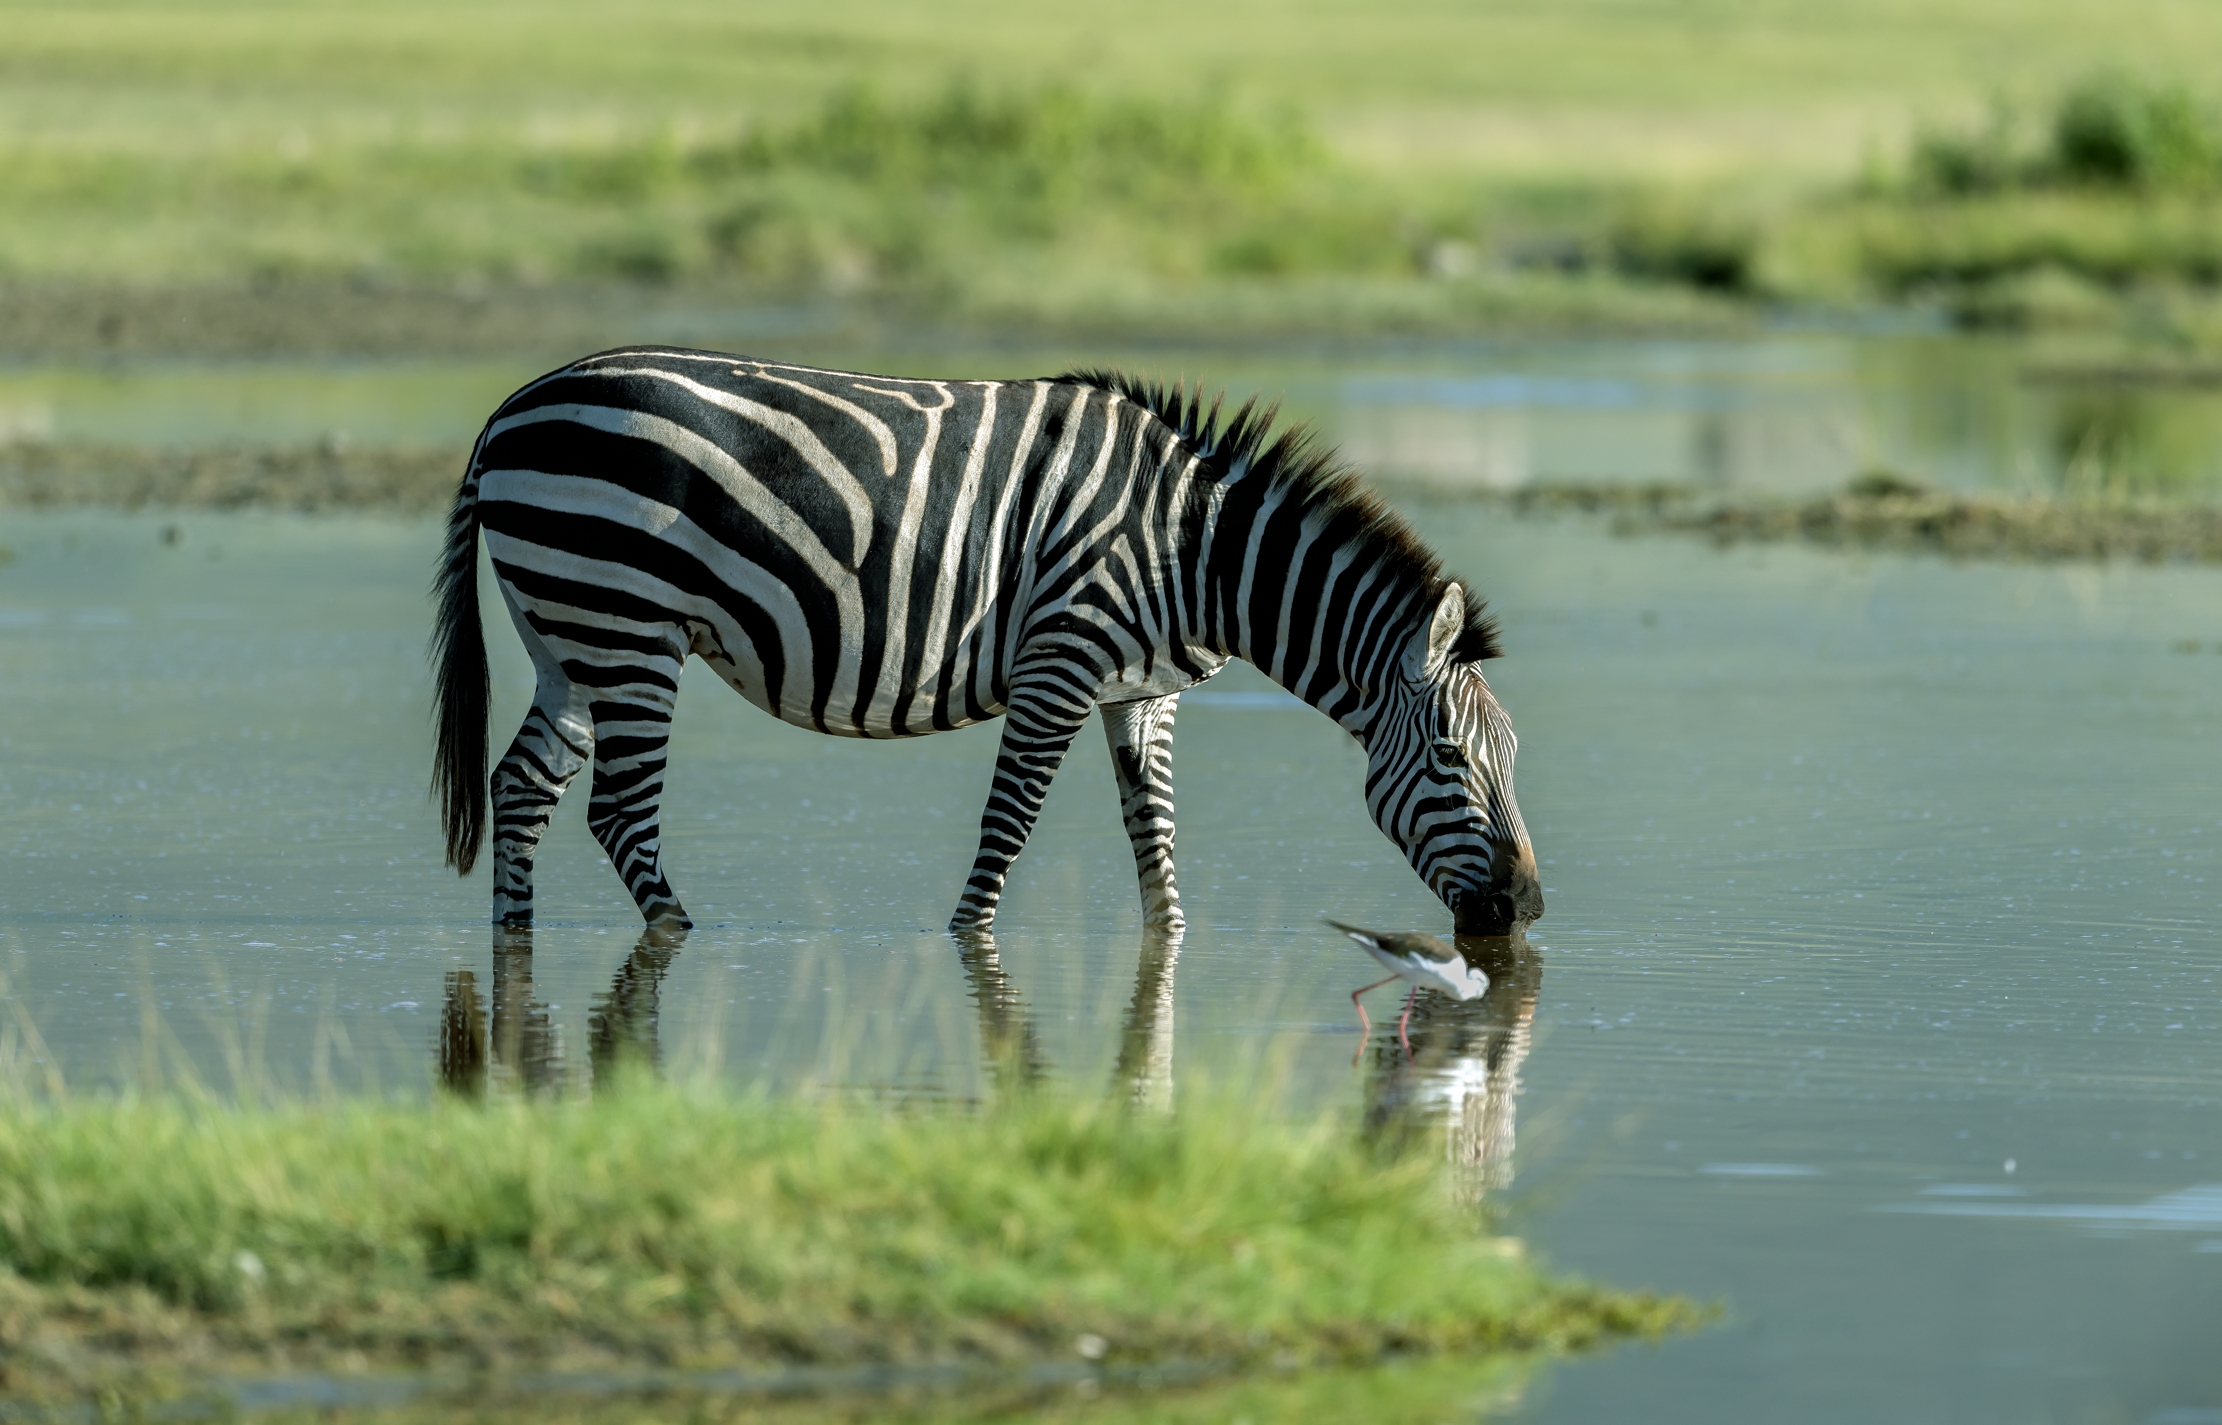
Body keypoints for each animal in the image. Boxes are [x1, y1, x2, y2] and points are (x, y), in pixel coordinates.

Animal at [429, 348, 1544, 936]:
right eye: (1450, 757)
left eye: (1512, 757)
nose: (1526, 907)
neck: (1200, 553)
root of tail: (512, 405)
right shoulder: (1063, 660)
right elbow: (1006, 827)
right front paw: (970, 951)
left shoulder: (1143, 695)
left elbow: (1156, 849)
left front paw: (1166, 962)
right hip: (628, 625)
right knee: (618, 813)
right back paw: (680, 937)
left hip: (568, 633)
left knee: (523, 786)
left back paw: (515, 942)